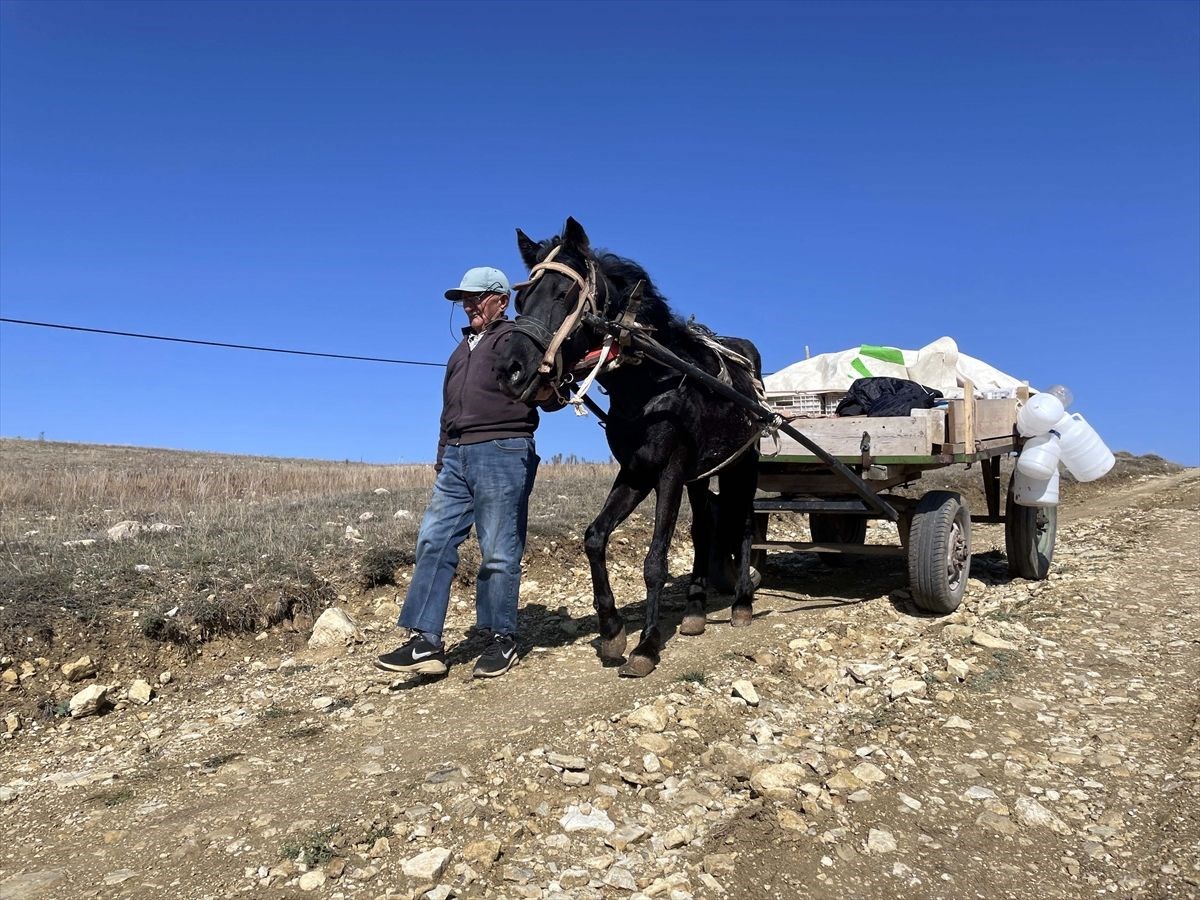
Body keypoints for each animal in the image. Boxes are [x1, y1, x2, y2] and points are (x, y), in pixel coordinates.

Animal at [494, 218, 758, 676]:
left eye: (564, 295)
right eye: (521, 298)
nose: (511, 371)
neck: (652, 382)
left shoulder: (670, 470)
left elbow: (655, 561)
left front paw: (647, 645)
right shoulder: (636, 472)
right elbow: (594, 538)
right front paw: (612, 629)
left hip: (742, 465)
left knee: (742, 524)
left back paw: (742, 602)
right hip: (702, 476)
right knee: (705, 526)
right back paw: (695, 611)